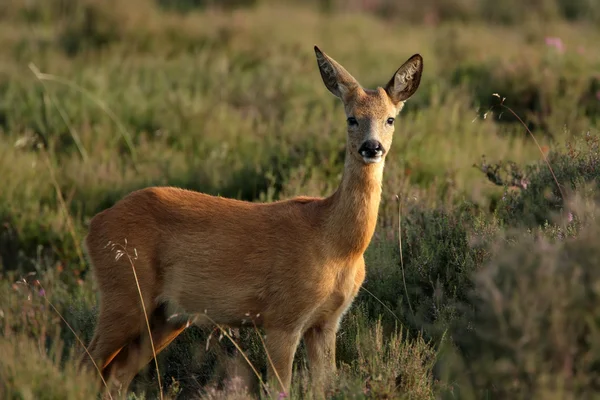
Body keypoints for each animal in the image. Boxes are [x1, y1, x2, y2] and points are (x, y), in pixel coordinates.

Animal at [79, 45, 422, 398]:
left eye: (390, 119)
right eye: (351, 118)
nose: (372, 147)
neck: (335, 242)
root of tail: (95, 225)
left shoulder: (326, 322)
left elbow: (324, 386)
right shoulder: (282, 318)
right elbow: (280, 387)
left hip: (167, 316)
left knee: (116, 373)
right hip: (124, 292)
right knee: (86, 365)